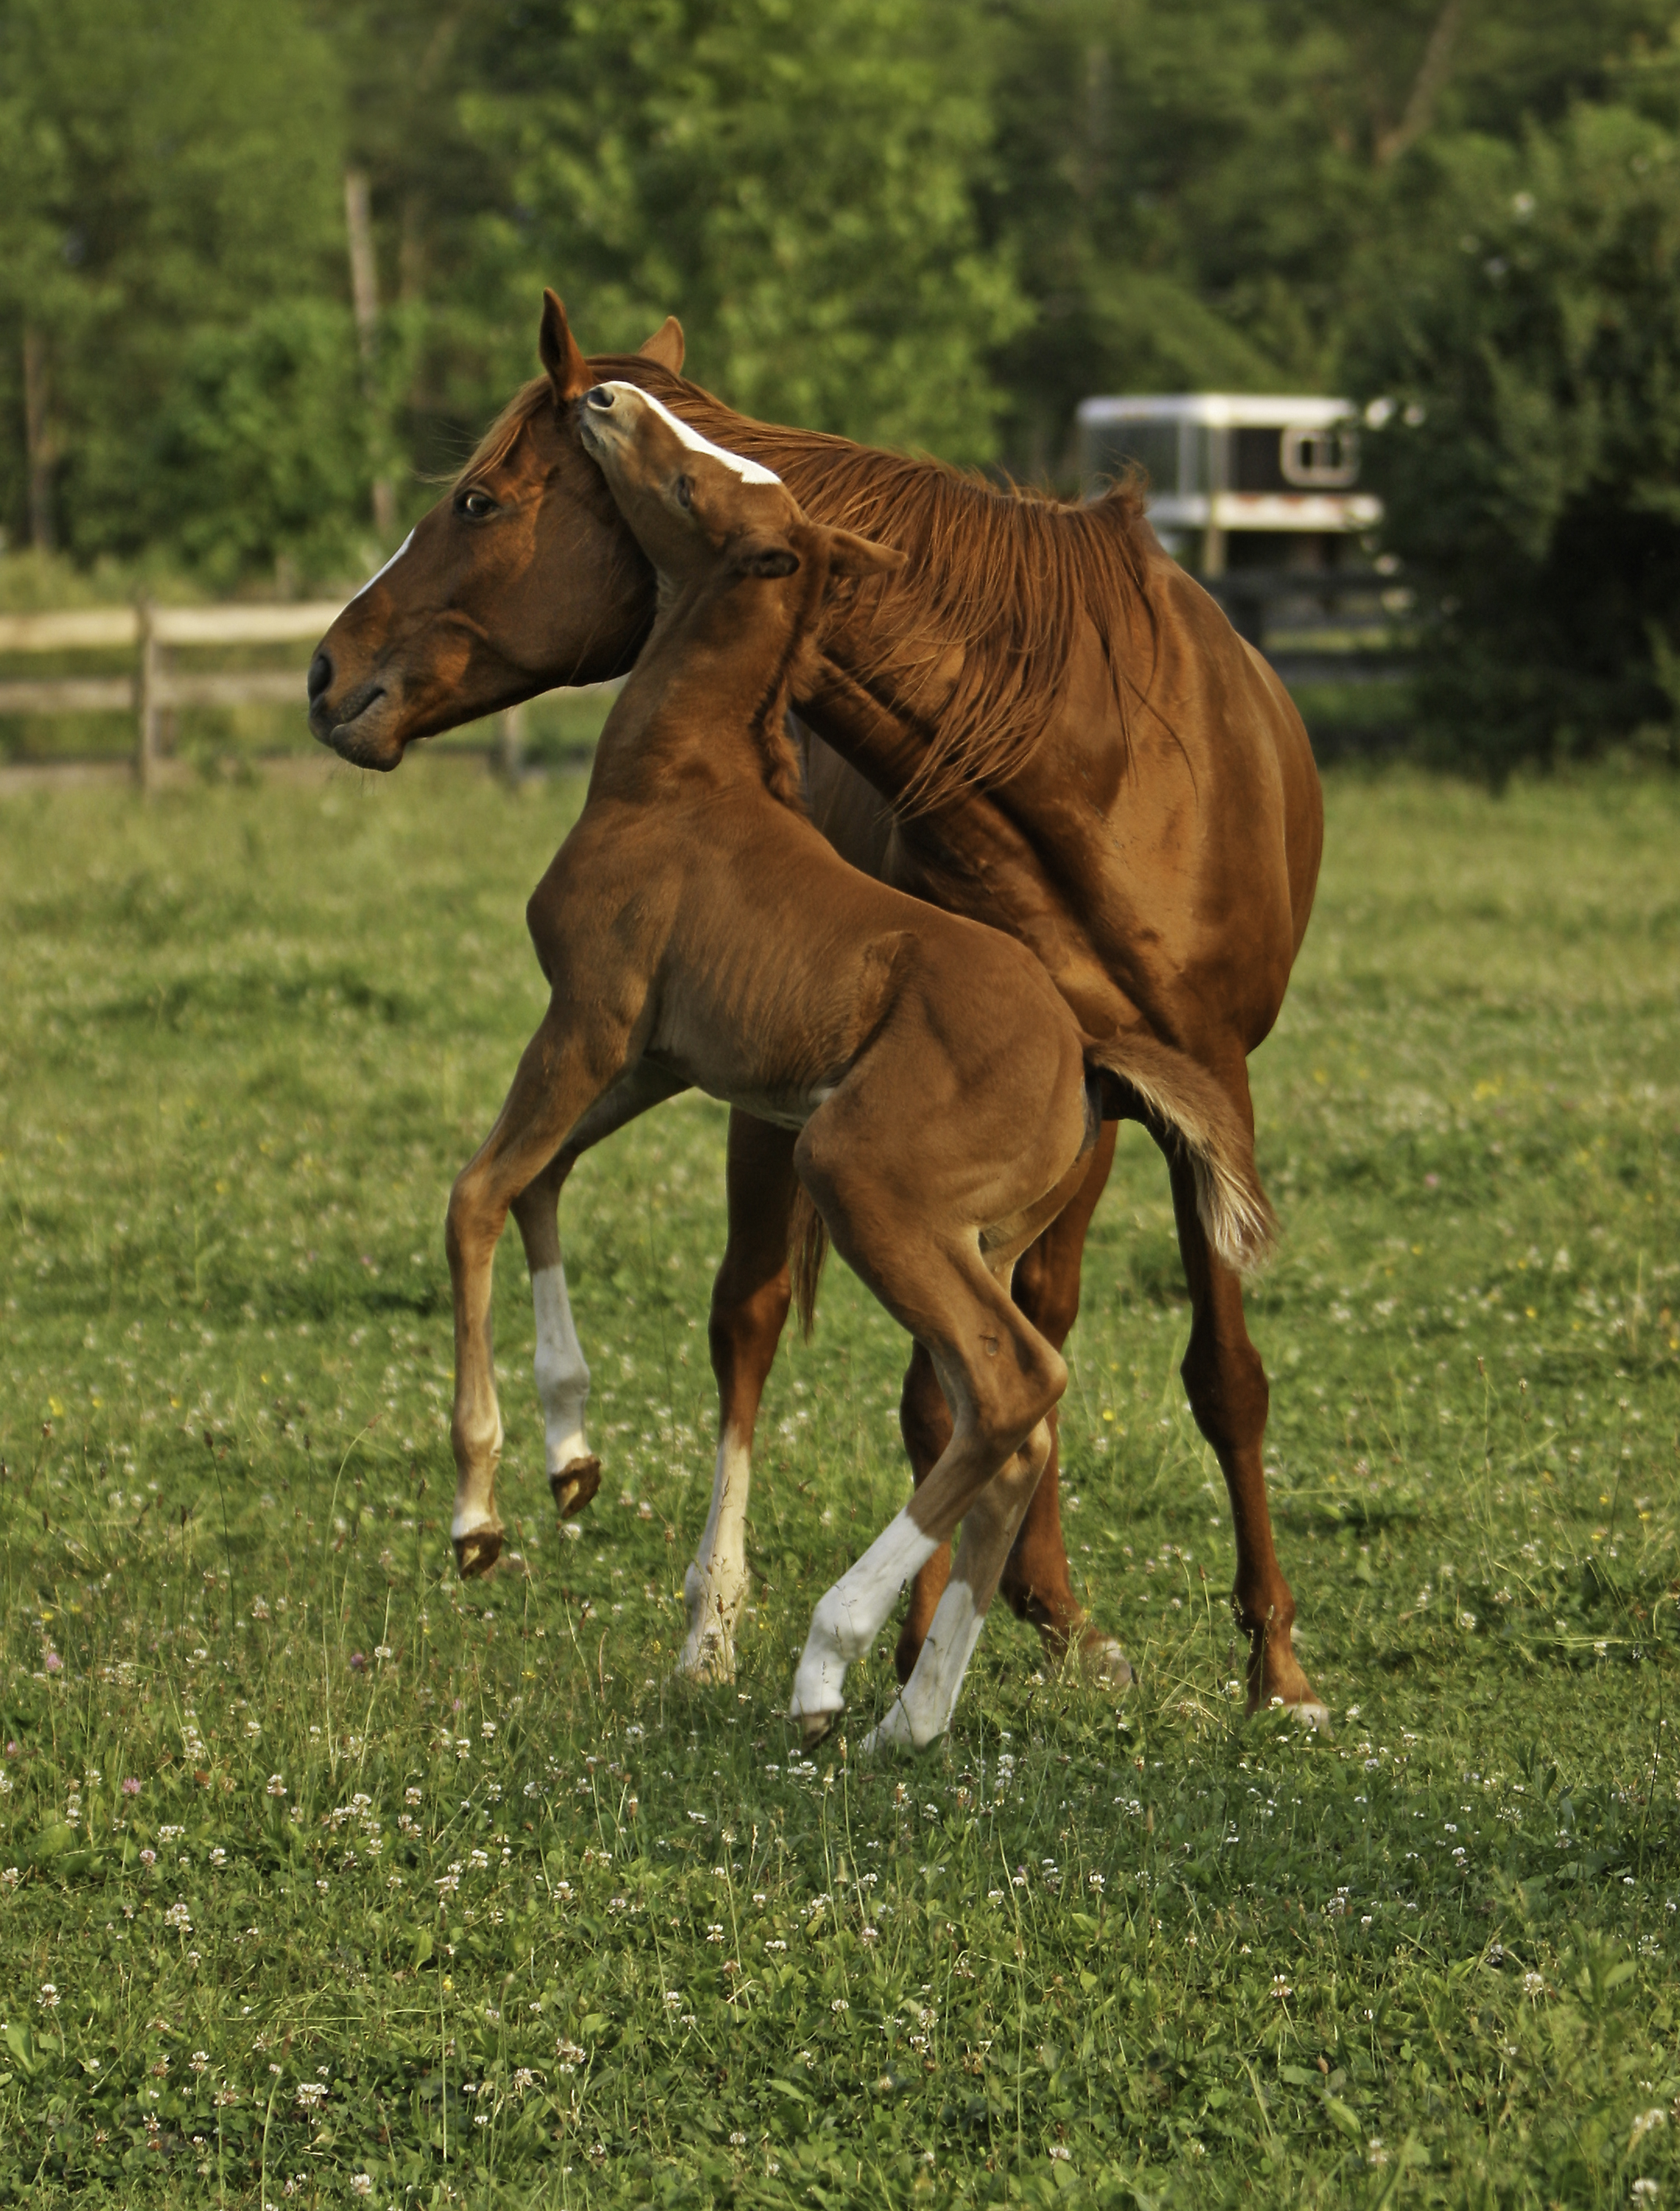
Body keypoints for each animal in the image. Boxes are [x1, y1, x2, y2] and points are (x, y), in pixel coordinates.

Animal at [308, 290, 1327, 1723]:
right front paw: (566, 1462)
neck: (1084, 758)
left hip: (944, 1153)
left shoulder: (1216, 1077)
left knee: (1019, 1362)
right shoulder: (640, 1049)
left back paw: (923, 1641)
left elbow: (1225, 1378)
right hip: (818, 1132)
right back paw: (819, 1639)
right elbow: (540, 1195)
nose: (325, 673)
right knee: (808, 1332)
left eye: (477, 499)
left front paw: (1278, 1668)